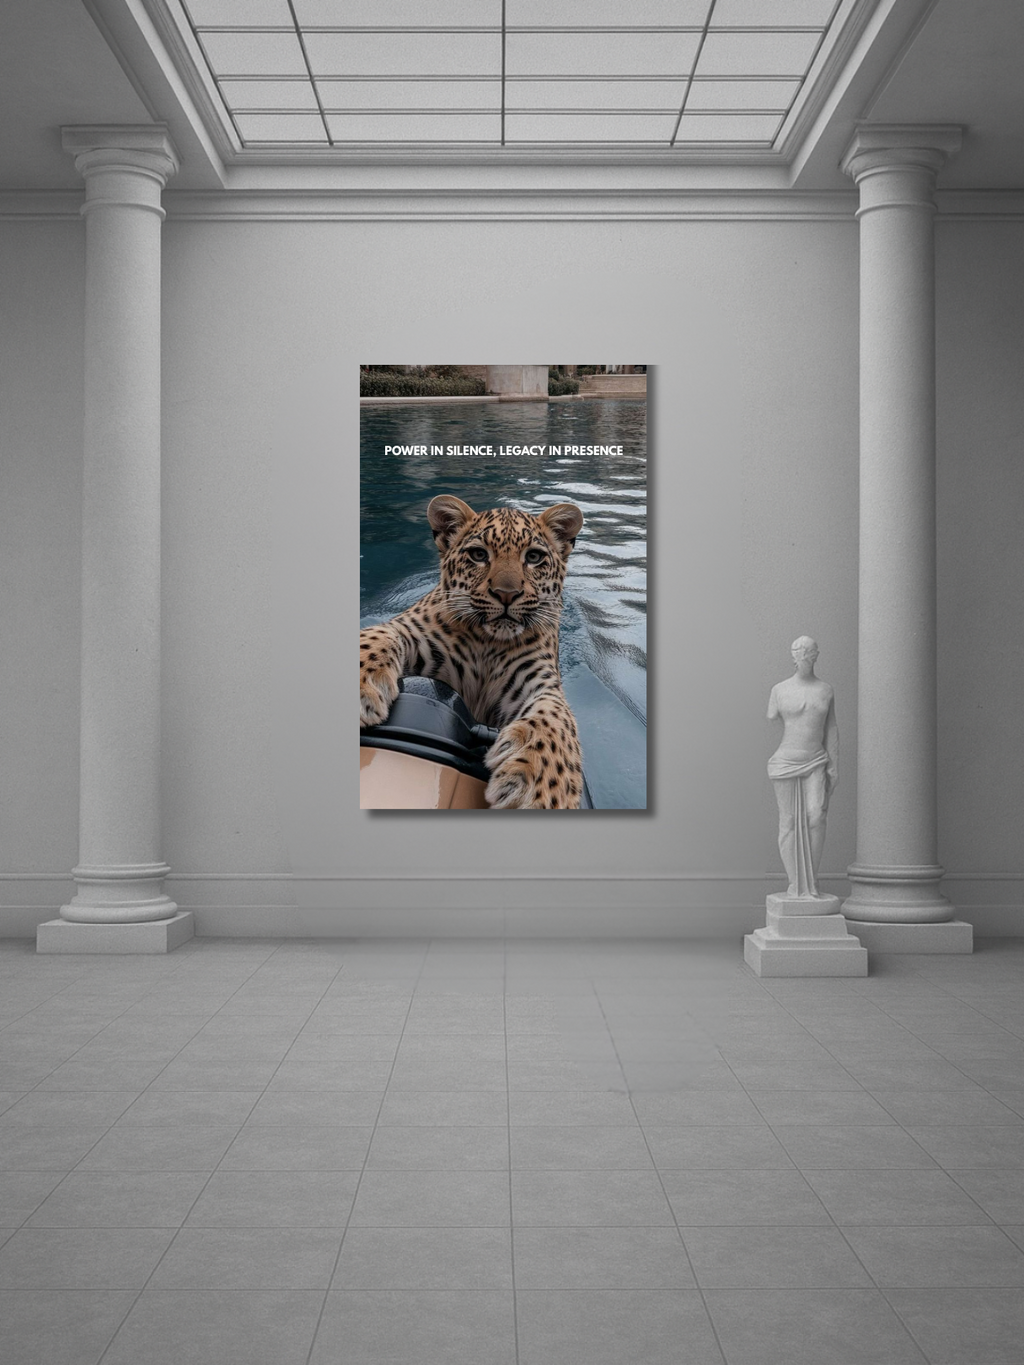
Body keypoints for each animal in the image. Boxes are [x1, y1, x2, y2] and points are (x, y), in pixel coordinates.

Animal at [360, 495, 585, 809]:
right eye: (478, 555)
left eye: (533, 557)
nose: (506, 594)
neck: (488, 643)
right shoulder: (411, 631)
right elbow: (380, 634)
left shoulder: (539, 679)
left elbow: (557, 717)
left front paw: (541, 787)